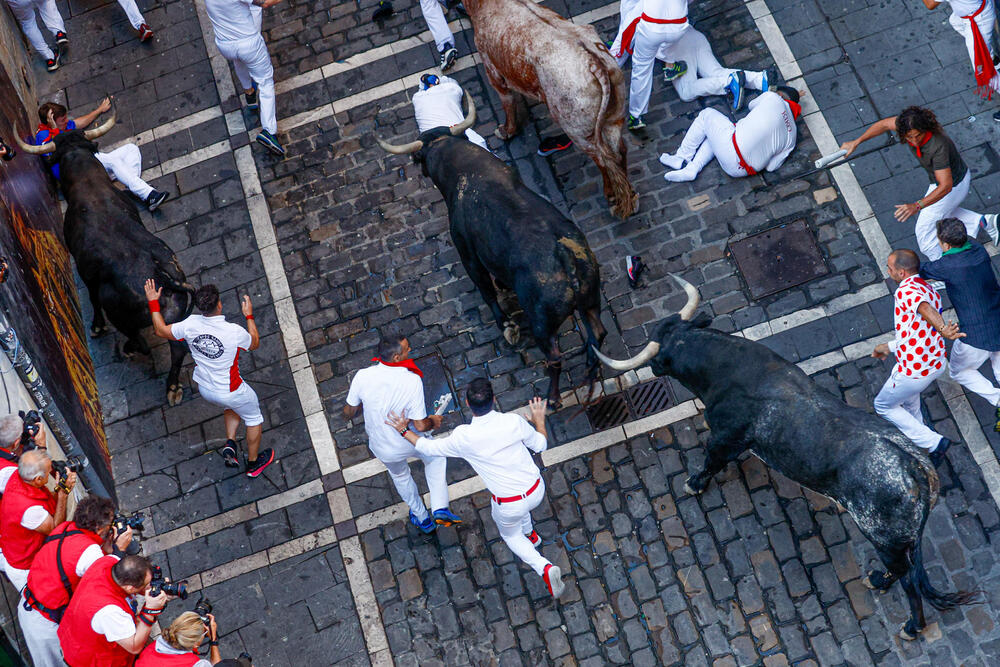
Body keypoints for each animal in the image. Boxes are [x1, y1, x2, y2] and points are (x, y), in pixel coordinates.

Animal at [15, 126, 194, 408]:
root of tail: (165, 278)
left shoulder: (86, 272)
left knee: (140, 341)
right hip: (176, 318)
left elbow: (92, 298)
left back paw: (131, 351)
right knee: (177, 349)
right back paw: (173, 387)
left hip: (121, 313)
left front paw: (97, 327)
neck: (89, 183)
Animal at [376, 99, 604, 408]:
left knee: (555, 358)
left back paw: (553, 398)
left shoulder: (468, 254)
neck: (465, 169)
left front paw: (508, 326)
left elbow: (487, 290)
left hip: (543, 324)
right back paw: (592, 380)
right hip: (591, 302)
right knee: (597, 337)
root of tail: (565, 256)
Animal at [596, 280, 980, 640]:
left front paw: (693, 484)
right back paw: (880, 582)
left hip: (882, 537)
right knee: (910, 570)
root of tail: (917, 468)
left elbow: (710, 460)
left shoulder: (725, 437)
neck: (724, 367)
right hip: (902, 540)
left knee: (908, 580)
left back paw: (910, 624)